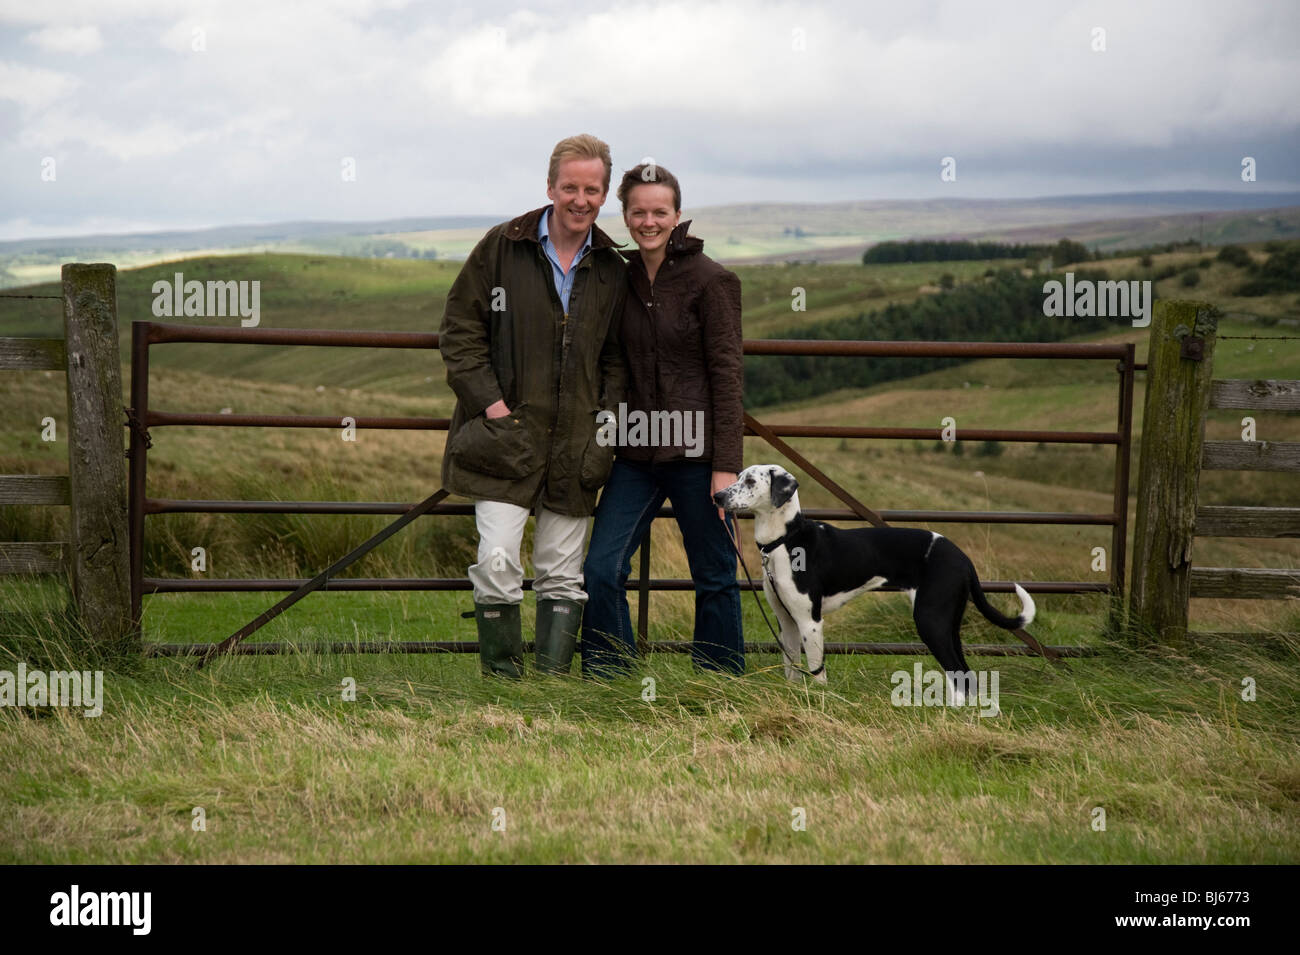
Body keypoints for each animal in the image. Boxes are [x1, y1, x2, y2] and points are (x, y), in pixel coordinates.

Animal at [712, 465, 1034, 686]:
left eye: (750, 481)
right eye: (738, 476)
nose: (717, 495)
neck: (785, 539)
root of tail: (963, 558)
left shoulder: (810, 622)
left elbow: (817, 673)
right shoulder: (787, 622)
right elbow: (792, 670)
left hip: (930, 620)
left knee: (959, 674)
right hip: (948, 624)